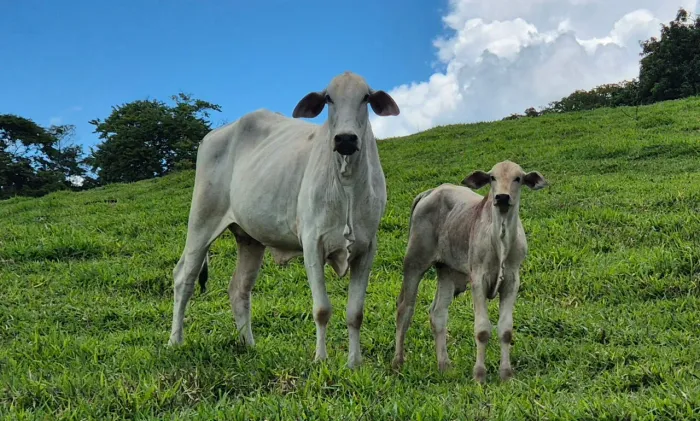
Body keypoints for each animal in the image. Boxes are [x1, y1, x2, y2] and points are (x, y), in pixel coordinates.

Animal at [167, 71, 400, 369]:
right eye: (328, 98)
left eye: (366, 97)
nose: (345, 139)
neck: (346, 180)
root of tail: (214, 135)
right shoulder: (312, 244)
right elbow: (322, 309)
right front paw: (320, 359)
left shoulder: (366, 248)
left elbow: (355, 313)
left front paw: (353, 364)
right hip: (202, 220)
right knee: (184, 277)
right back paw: (175, 341)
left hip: (249, 239)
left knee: (239, 289)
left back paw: (248, 344)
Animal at [391, 160, 548, 382]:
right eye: (492, 178)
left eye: (518, 178)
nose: (502, 197)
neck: (500, 239)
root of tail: (430, 192)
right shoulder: (478, 280)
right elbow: (482, 330)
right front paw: (479, 375)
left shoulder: (512, 280)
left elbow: (506, 330)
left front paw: (506, 375)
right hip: (414, 261)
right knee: (404, 309)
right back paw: (398, 362)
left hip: (446, 271)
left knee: (438, 313)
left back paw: (444, 365)